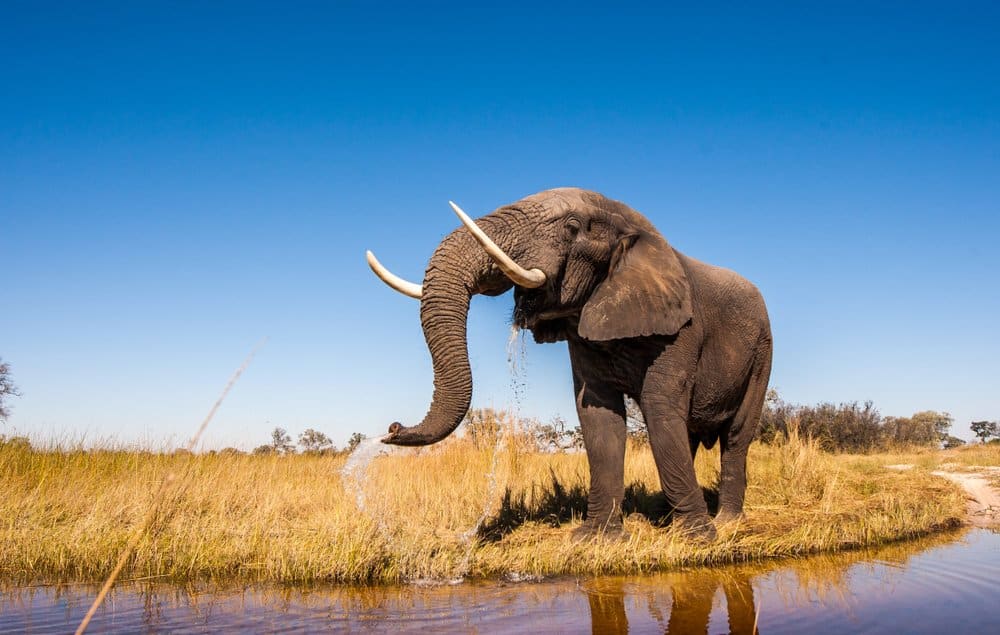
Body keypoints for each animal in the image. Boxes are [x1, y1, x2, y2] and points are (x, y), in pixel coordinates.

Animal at [368, 186, 772, 540]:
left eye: (572, 226)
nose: (392, 428)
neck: (634, 226)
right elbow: (598, 415)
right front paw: (596, 539)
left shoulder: (682, 329)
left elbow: (659, 408)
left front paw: (697, 539)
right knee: (687, 434)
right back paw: (669, 517)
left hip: (762, 354)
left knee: (735, 436)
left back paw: (726, 522)